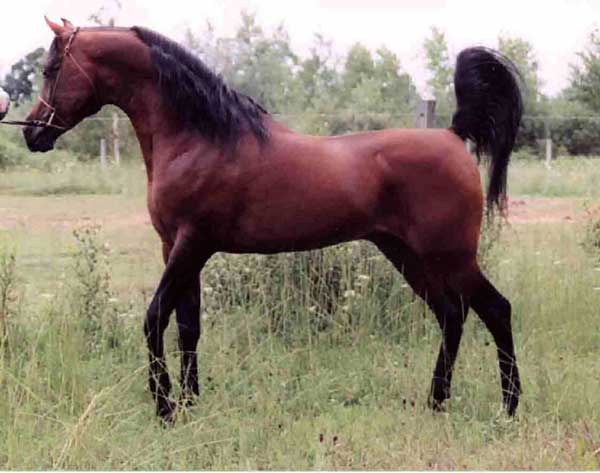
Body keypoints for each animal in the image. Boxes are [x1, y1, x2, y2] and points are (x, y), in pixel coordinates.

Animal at [24, 17, 523, 423]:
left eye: (51, 69)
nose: (32, 133)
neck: (201, 138)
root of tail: (453, 136)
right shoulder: (177, 249)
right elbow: (188, 325)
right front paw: (190, 402)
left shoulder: (192, 244)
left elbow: (154, 319)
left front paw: (165, 408)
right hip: (406, 254)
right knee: (452, 314)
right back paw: (436, 401)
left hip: (450, 256)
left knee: (496, 309)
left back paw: (509, 406)